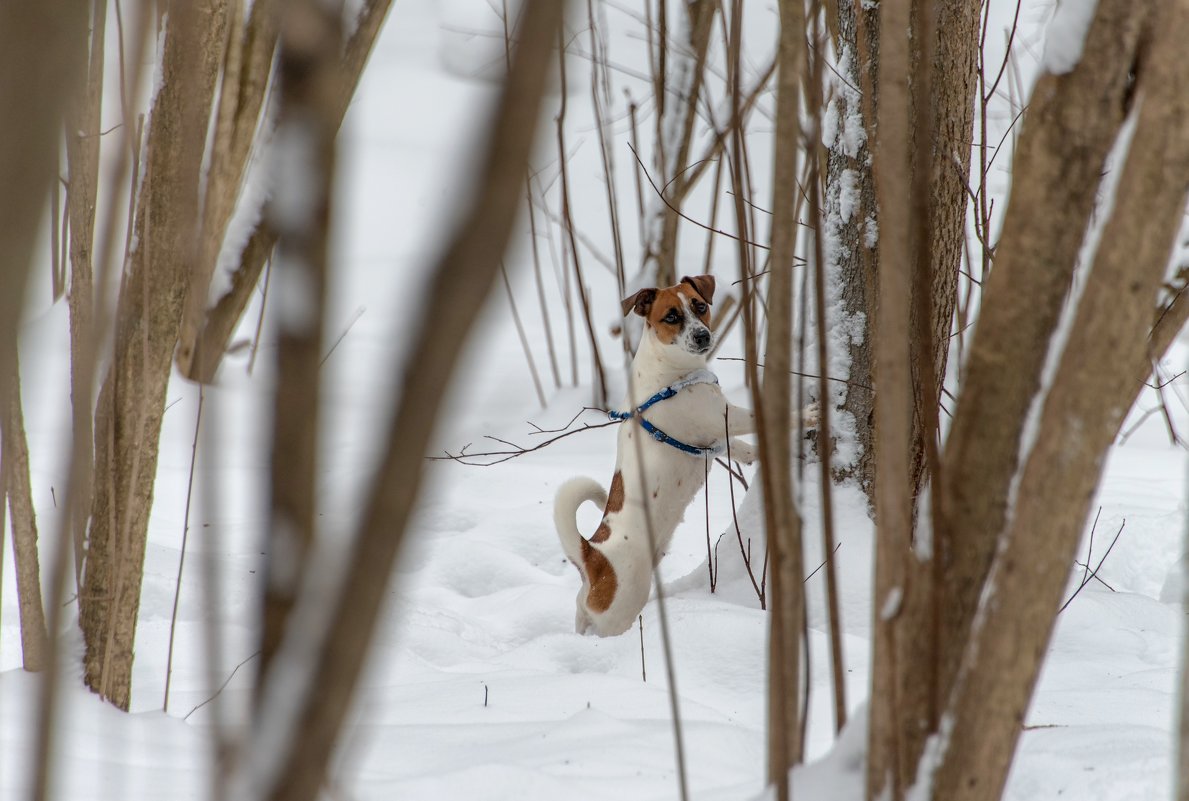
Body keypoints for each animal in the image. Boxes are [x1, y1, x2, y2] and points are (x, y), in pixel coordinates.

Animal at [551, 274, 756, 636]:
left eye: (699, 306)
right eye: (671, 317)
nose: (703, 336)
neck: (672, 375)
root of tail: (594, 559)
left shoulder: (716, 433)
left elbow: (736, 446)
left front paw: (753, 456)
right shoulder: (723, 415)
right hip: (622, 609)